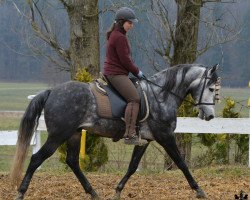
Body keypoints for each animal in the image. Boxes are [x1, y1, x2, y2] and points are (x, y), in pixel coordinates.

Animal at [10, 63, 220, 198]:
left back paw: (93, 193)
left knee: (72, 162)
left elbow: (133, 166)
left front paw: (118, 190)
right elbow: (182, 163)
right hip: (58, 135)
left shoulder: (145, 140)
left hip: (74, 134)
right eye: (210, 88)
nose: (210, 116)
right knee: (36, 159)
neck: (161, 96)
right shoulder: (165, 137)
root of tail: (52, 91)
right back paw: (20, 192)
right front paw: (199, 191)